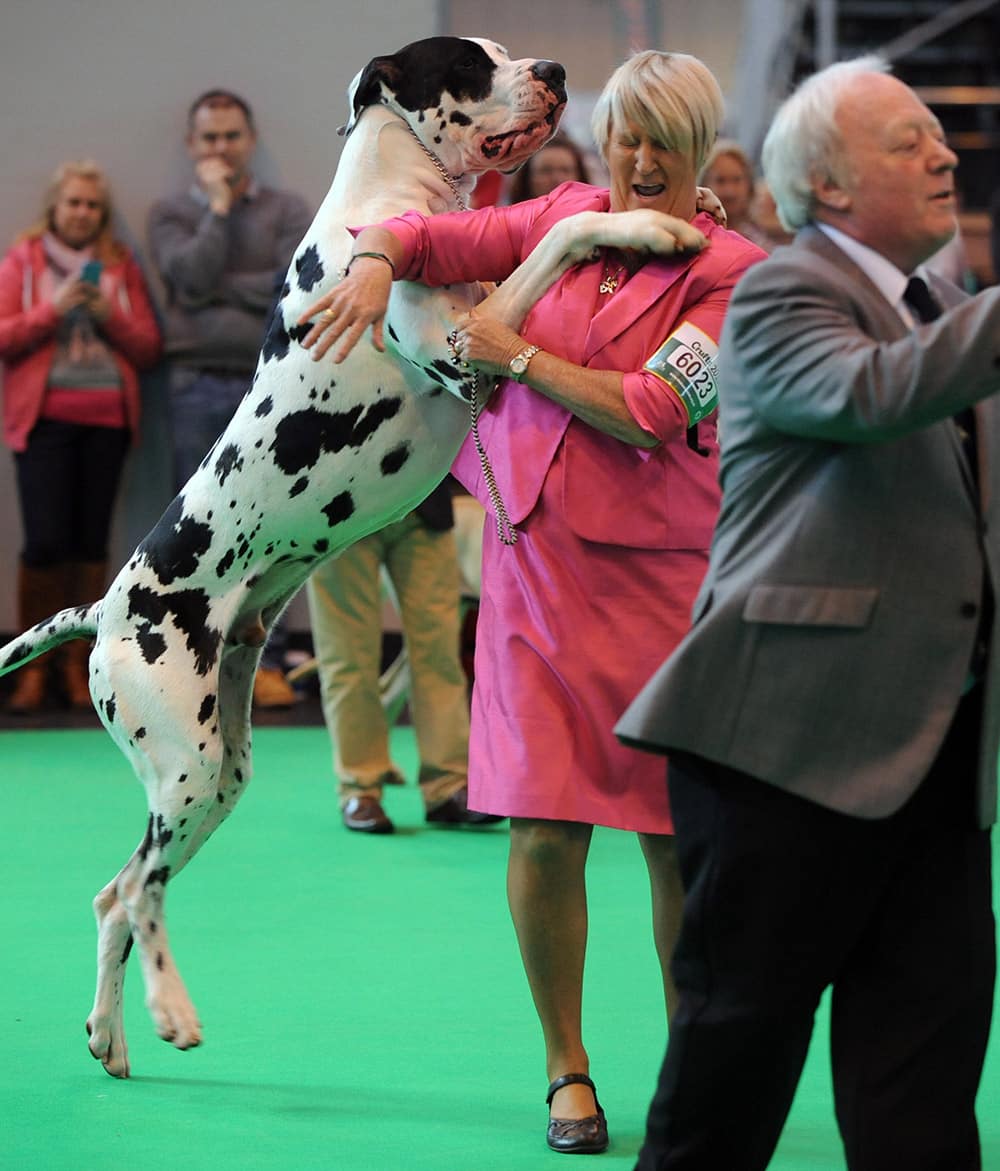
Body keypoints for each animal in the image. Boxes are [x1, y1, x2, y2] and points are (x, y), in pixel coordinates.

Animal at [3, 34, 697, 1077]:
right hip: (186, 766)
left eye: (505, 51)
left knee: (111, 895)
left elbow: (546, 235)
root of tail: (108, 608)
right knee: (138, 892)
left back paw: (111, 1034)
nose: (554, 72)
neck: (387, 197)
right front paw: (649, 228)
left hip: (217, 776)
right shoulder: (469, 344)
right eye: (469, 64)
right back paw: (171, 1011)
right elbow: (561, 234)